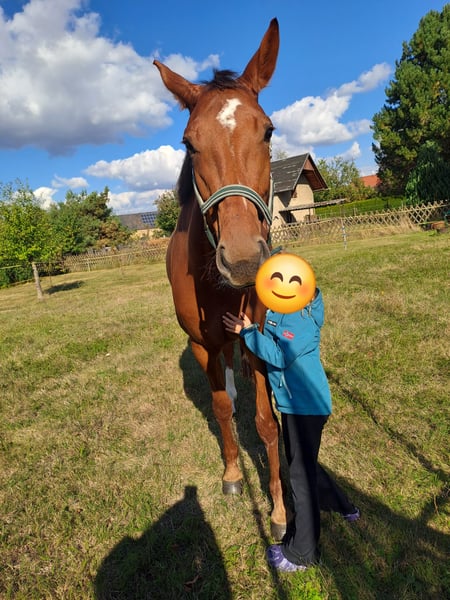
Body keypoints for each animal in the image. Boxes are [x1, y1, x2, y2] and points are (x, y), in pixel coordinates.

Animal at [153, 18, 287, 539]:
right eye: (189, 143)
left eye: (267, 131)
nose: (245, 258)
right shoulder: (203, 344)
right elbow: (222, 408)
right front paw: (233, 474)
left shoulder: (260, 336)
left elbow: (268, 423)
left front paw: (279, 510)